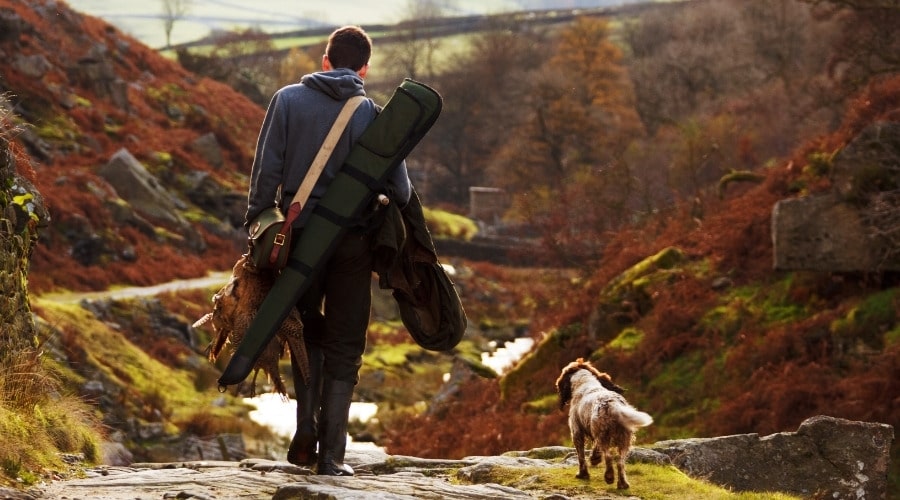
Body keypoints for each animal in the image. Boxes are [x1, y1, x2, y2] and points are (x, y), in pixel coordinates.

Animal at [552, 358, 652, 490]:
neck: (585, 383)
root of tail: (612, 404)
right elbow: (595, 448)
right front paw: (594, 459)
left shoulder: (577, 432)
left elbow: (581, 456)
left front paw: (582, 474)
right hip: (624, 438)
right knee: (620, 462)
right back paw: (623, 484)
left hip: (604, 435)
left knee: (608, 457)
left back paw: (609, 477)